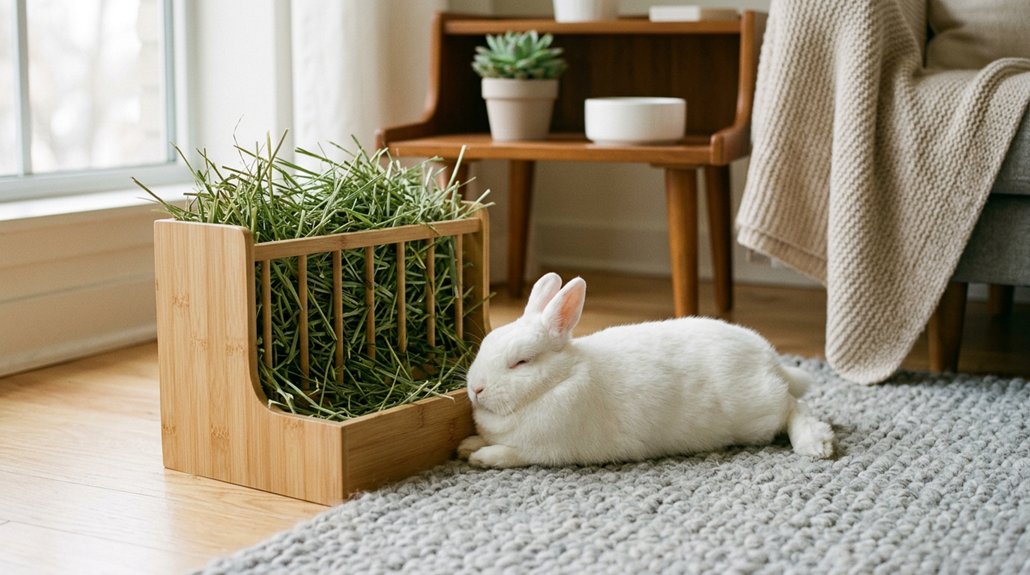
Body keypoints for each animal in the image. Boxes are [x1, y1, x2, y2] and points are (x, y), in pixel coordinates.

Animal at [457, 273, 835, 468]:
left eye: (521, 362)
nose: (475, 389)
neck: (558, 380)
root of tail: (769, 359)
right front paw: (466, 443)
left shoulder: (544, 450)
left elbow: (508, 453)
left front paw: (478, 456)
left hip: (759, 410)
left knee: (794, 407)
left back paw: (815, 444)